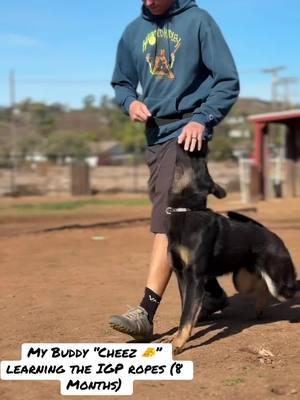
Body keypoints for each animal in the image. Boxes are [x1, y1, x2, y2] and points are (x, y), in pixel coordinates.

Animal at [165, 149, 298, 354]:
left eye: (200, 165)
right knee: (262, 287)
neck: (187, 209)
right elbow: (185, 310)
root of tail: (273, 236)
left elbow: (186, 315)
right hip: (242, 280)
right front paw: (178, 337)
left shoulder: (194, 277)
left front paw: (178, 343)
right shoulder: (181, 274)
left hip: (280, 284)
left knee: (289, 289)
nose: (199, 149)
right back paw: (259, 309)